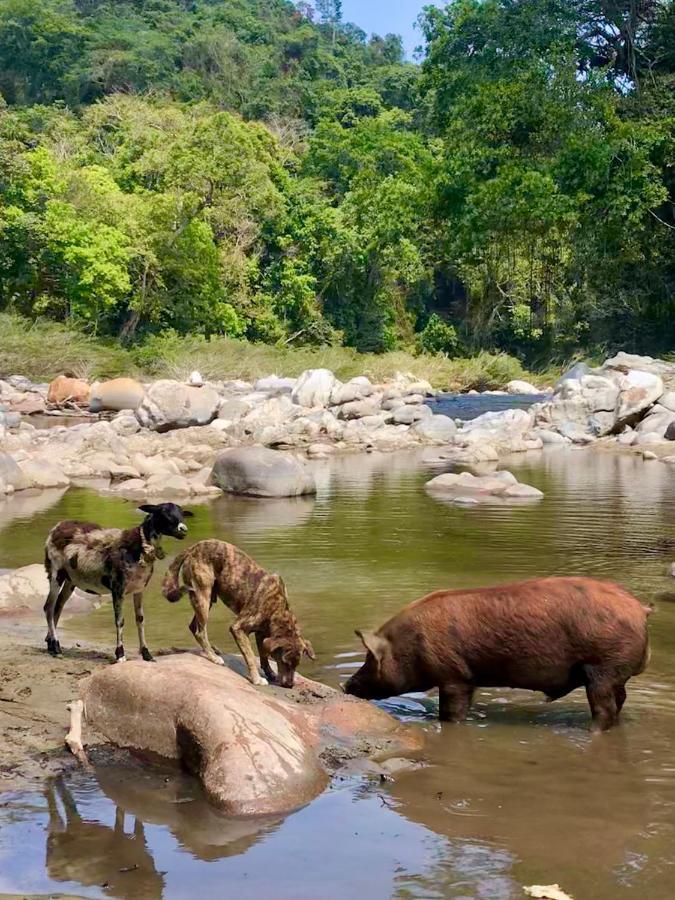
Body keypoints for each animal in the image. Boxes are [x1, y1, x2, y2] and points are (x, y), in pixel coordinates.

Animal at [44, 502, 193, 664]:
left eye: (182, 513)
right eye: (163, 512)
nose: (183, 529)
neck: (138, 548)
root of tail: (57, 527)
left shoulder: (139, 588)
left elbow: (140, 619)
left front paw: (147, 654)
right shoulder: (118, 587)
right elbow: (120, 621)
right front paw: (120, 654)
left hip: (70, 579)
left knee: (58, 606)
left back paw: (51, 644)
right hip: (55, 572)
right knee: (49, 607)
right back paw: (56, 648)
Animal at [162, 536, 316, 684]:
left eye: (296, 665)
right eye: (285, 662)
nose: (290, 685)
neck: (277, 609)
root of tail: (192, 548)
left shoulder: (261, 633)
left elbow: (263, 656)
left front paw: (270, 673)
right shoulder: (238, 628)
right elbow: (250, 656)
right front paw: (256, 679)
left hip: (208, 599)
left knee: (193, 626)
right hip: (203, 596)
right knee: (200, 632)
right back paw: (213, 657)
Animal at [346, 576, 652, 732]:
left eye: (370, 659)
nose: (347, 684)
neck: (410, 645)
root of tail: (640, 609)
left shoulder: (454, 676)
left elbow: (451, 712)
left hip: (603, 668)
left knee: (604, 709)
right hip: (616, 673)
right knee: (621, 701)